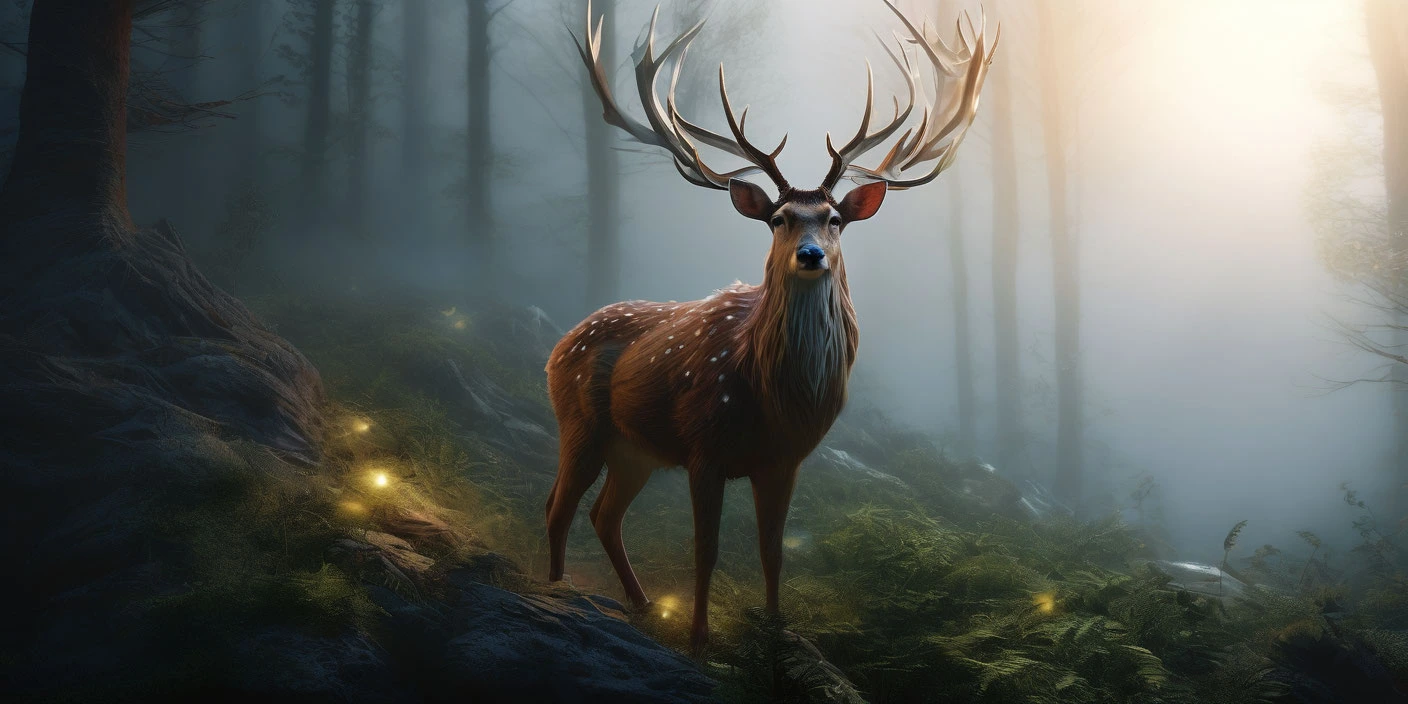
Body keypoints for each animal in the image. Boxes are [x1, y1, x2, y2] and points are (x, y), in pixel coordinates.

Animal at [546, 0, 996, 651]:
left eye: (834, 219)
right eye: (780, 219)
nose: (810, 256)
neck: (770, 396)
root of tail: (557, 344)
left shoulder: (784, 461)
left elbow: (772, 552)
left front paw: (777, 628)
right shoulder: (704, 446)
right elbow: (706, 551)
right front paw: (700, 638)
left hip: (636, 448)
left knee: (604, 514)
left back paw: (641, 602)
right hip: (580, 420)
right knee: (558, 504)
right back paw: (557, 590)